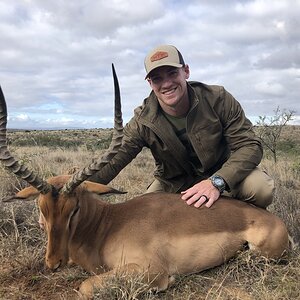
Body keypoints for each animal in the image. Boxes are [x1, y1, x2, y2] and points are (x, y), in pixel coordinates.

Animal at [0, 66, 290, 300]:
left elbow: (85, 286)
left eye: (74, 209)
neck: (107, 226)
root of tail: (275, 221)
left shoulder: (150, 271)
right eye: (41, 210)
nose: (53, 263)